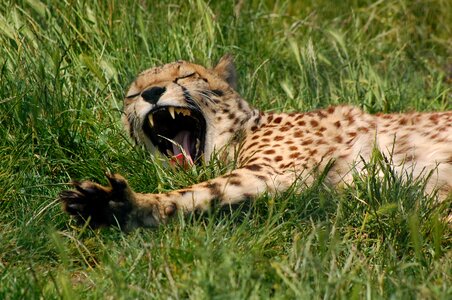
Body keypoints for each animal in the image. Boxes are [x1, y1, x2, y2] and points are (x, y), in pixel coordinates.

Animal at [60, 55, 452, 229]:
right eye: (133, 94)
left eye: (186, 75)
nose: (152, 94)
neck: (245, 131)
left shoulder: (278, 172)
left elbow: (193, 192)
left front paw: (121, 203)